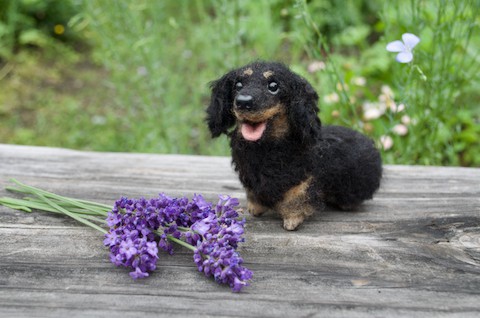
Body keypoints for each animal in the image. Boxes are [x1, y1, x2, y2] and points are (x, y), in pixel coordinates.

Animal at [206, 61, 382, 231]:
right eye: (238, 84)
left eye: (273, 86)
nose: (243, 102)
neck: (265, 148)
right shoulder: (250, 176)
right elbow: (253, 192)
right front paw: (255, 207)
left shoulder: (305, 179)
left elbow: (296, 197)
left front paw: (292, 220)